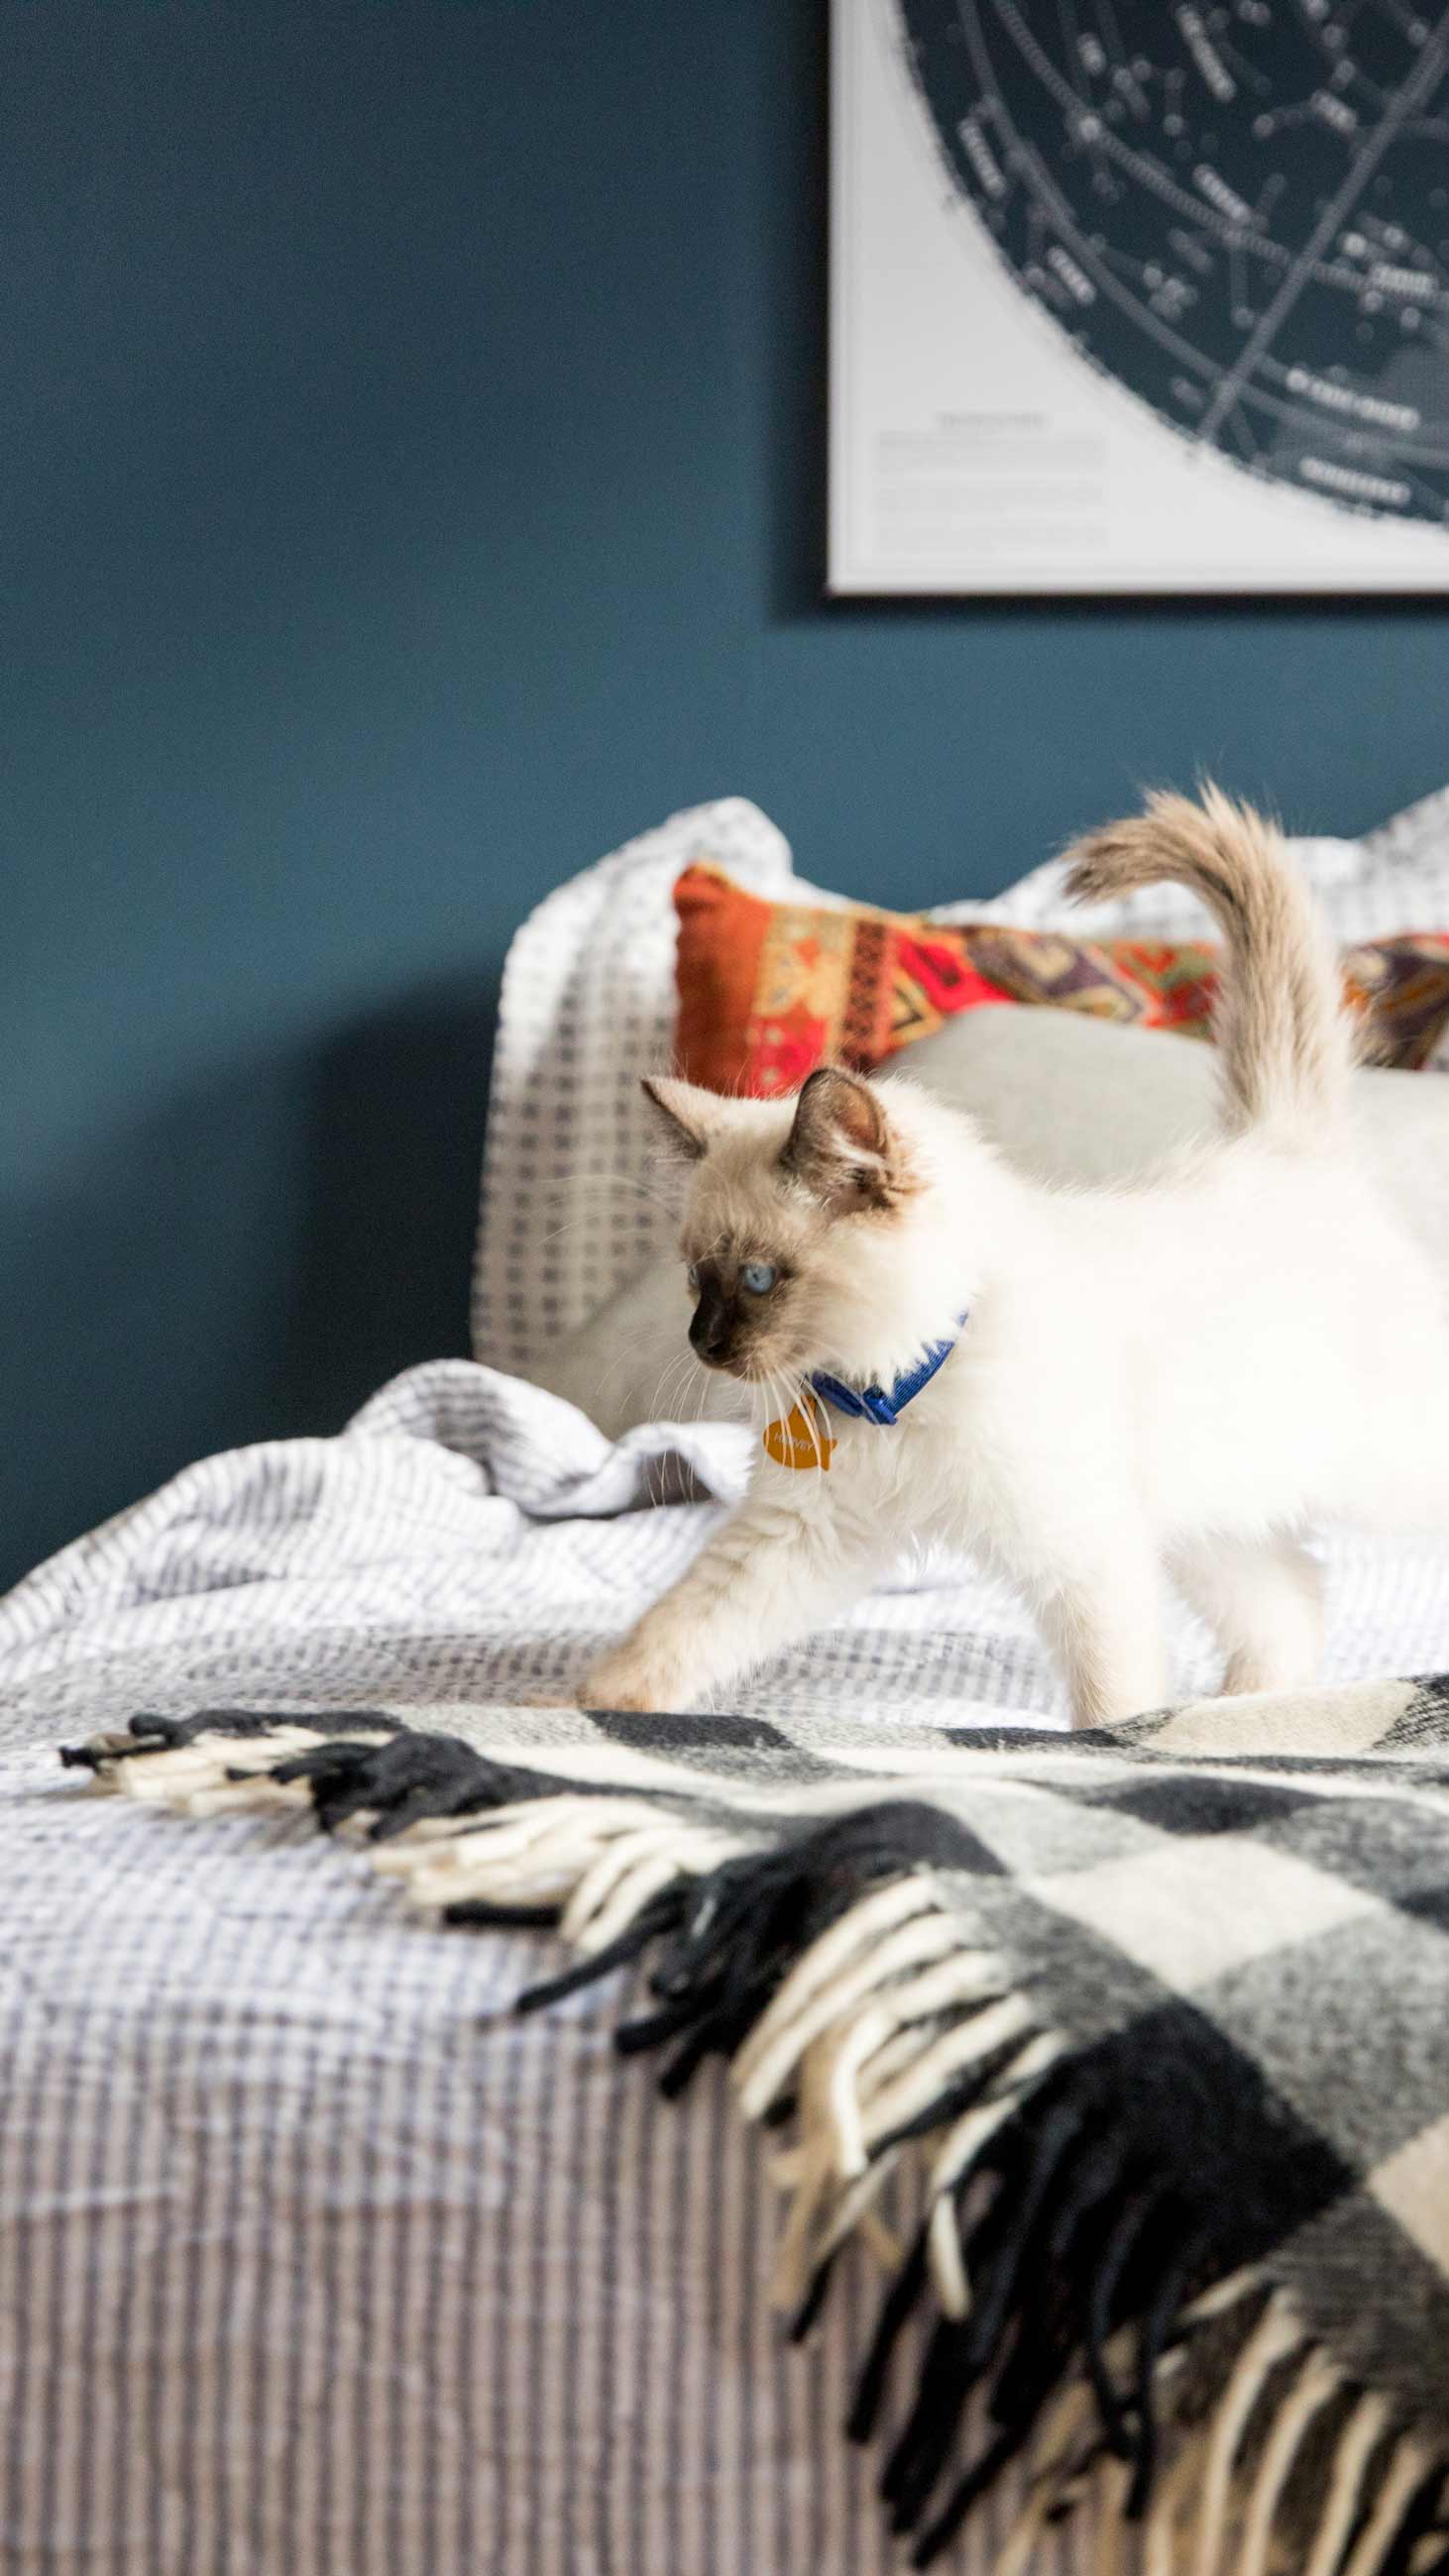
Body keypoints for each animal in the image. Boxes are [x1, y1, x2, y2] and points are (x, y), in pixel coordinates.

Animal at [580, 788, 1443, 1731]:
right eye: (695, 1278)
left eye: (760, 1278)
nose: (702, 1343)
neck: (891, 1388)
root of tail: (1280, 1146)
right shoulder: (809, 1532)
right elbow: (681, 1632)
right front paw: (581, 1709)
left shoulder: (1080, 1549)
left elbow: (1111, 1701)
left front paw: (1121, 1746)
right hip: (1207, 1512)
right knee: (1292, 1599)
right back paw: (1238, 1712)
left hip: (1375, 1473)